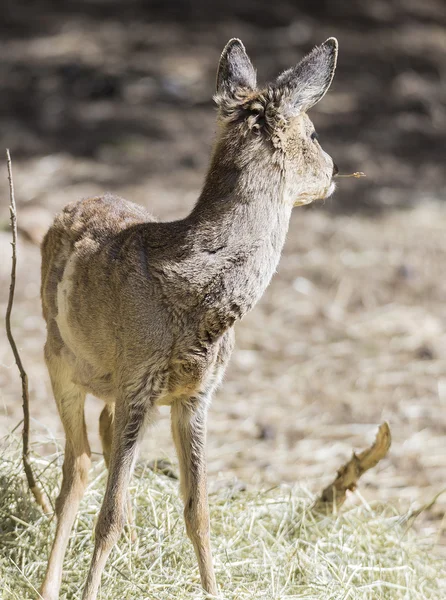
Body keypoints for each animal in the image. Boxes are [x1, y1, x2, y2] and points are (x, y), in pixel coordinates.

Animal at [40, 37, 340, 600]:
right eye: (313, 132)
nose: (334, 171)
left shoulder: (196, 395)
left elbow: (198, 509)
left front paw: (213, 589)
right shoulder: (137, 380)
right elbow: (108, 515)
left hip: (114, 384)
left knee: (103, 437)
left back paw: (135, 551)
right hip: (57, 357)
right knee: (79, 464)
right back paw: (50, 584)